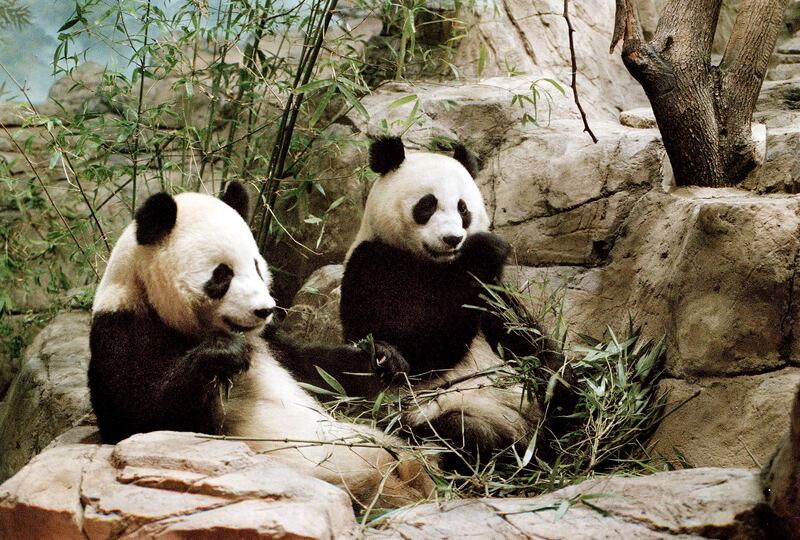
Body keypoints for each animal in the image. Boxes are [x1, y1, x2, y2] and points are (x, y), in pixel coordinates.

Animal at [88, 182, 433, 508]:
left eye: (255, 264)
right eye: (222, 275)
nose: (264, 309)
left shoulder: (270, 341)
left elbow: (317, 368)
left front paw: (382, 358)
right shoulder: (122, 330)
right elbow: (140, 421)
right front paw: (223, 354)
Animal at [335, 137, 558, 471]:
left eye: (463, 208)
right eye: (427, 205)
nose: (453, 238)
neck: (438, 264)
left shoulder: (491, 295)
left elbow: (521, 333)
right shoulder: (374, 264)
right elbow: (420, 345)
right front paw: (485, 248)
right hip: (439, 411)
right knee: (461, 432)